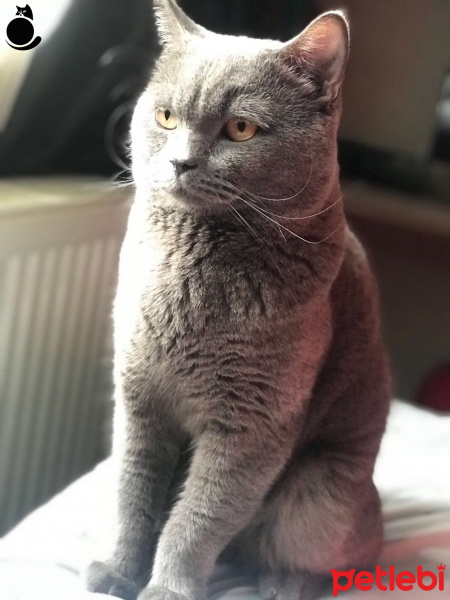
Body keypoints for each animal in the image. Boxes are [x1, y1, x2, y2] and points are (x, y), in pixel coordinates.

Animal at [87, 1, 390, 600]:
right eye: (166, 118)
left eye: (241, 128)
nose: (180, 162)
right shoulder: (137, 396)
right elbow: (132, 492)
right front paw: (118, 571)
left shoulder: (250, 427)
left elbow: (197, 520)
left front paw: (166, 589)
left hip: (320, 494)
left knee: (332, 560)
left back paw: (278, 584)